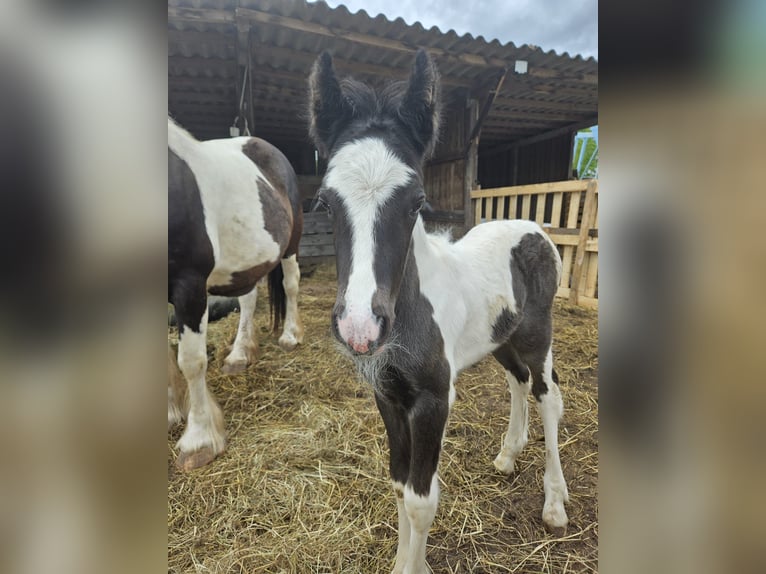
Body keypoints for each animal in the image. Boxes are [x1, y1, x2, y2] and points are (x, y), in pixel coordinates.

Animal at [167, 118, 304, 472]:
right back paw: (240, 354)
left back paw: (290, 336)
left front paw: (199, 439)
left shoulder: (189, 286)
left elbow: (191, 361)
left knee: (291, 285)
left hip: (291, 245)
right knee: (248, 302)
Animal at [308, 51, 568, 572]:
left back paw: (555, 503)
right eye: (325, 202)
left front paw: (416, 565)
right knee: (517, 381)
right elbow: (398, 484)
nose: (360, 328)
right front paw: (401, 563)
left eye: (417, 202)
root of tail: (535, 228)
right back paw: (508, 455)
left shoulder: (433, 398)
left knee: (548, 395)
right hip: (501, 337)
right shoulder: (388, 395)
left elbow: (420, 499)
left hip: (537, 334)